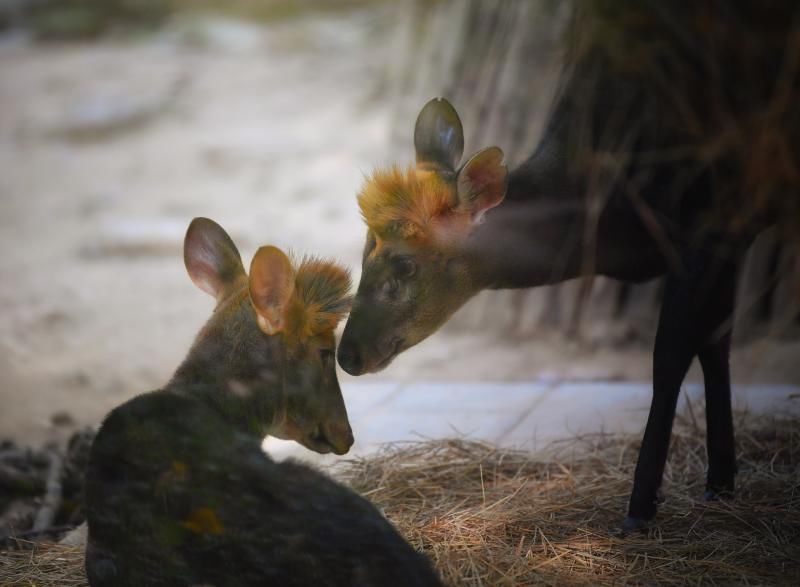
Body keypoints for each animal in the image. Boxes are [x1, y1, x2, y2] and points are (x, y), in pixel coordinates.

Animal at [340, 2, 800, 532]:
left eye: (405, 263)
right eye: (363, 247)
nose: (347, 354)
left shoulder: (712, 222)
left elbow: (670, 356)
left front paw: (640, 510)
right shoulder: (724, 236)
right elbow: (715, 344)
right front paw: (720, 483)